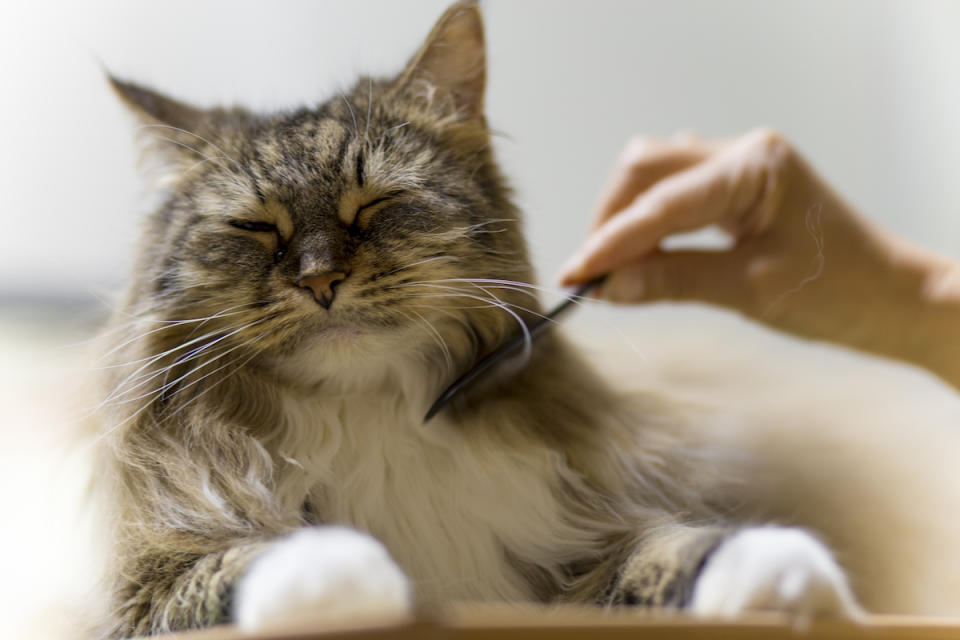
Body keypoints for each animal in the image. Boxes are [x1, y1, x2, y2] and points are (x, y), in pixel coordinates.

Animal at [95, 2, 864, 636]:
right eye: (255, 229)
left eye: (374, 206)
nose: (319, 279)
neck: (373, 415)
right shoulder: (144, 591)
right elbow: (245, 561)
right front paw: (358, 575)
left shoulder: (569, 550)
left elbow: (669, 548)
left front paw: (785, 571)